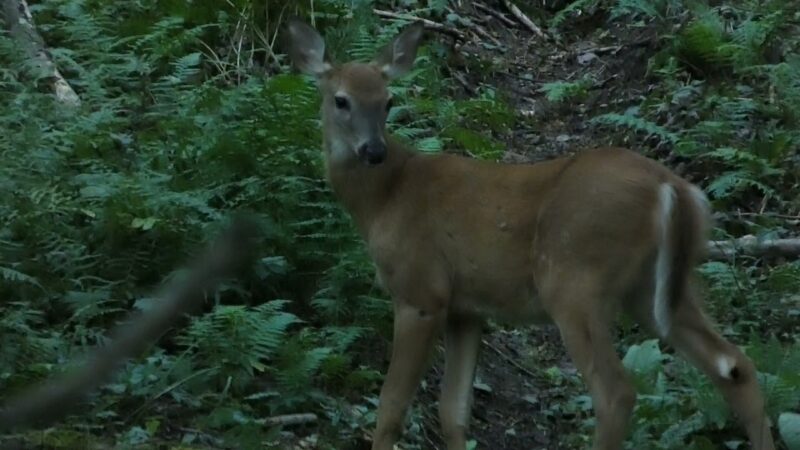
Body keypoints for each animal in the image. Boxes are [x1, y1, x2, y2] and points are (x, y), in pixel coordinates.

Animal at [282, 18, 776, 450]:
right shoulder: (466, 307)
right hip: (658, 287)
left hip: (574, 279)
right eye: (341, 100)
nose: (373, 151)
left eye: (387, 101)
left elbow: (390, 409)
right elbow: (452, 412)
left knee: (616, 393)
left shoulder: (421, 291)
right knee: (735, 364)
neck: (384, 199)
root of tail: (672, 187)